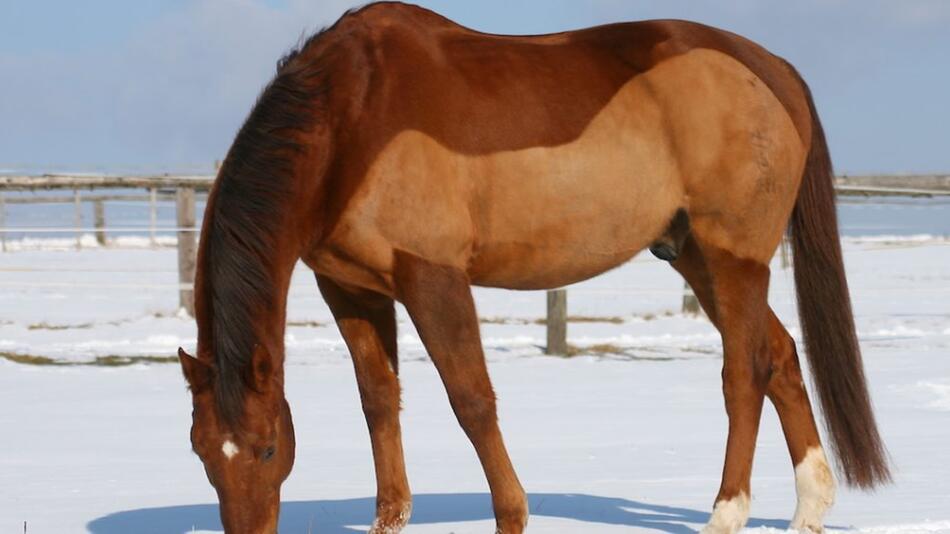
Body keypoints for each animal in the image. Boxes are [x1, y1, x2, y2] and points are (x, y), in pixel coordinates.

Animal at [177, 2, 892, 532]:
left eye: (270, 448)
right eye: (202, 453)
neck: (351, 118)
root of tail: (773, 70)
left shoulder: (432, 279)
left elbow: (472, 402)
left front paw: (512, 516)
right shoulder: (350, 289)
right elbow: (379, 399)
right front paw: (389, 520)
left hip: (732, 258)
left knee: (745, 371)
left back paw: (726, 514)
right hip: (695, 259)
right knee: (780, 355)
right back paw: (808, 508)